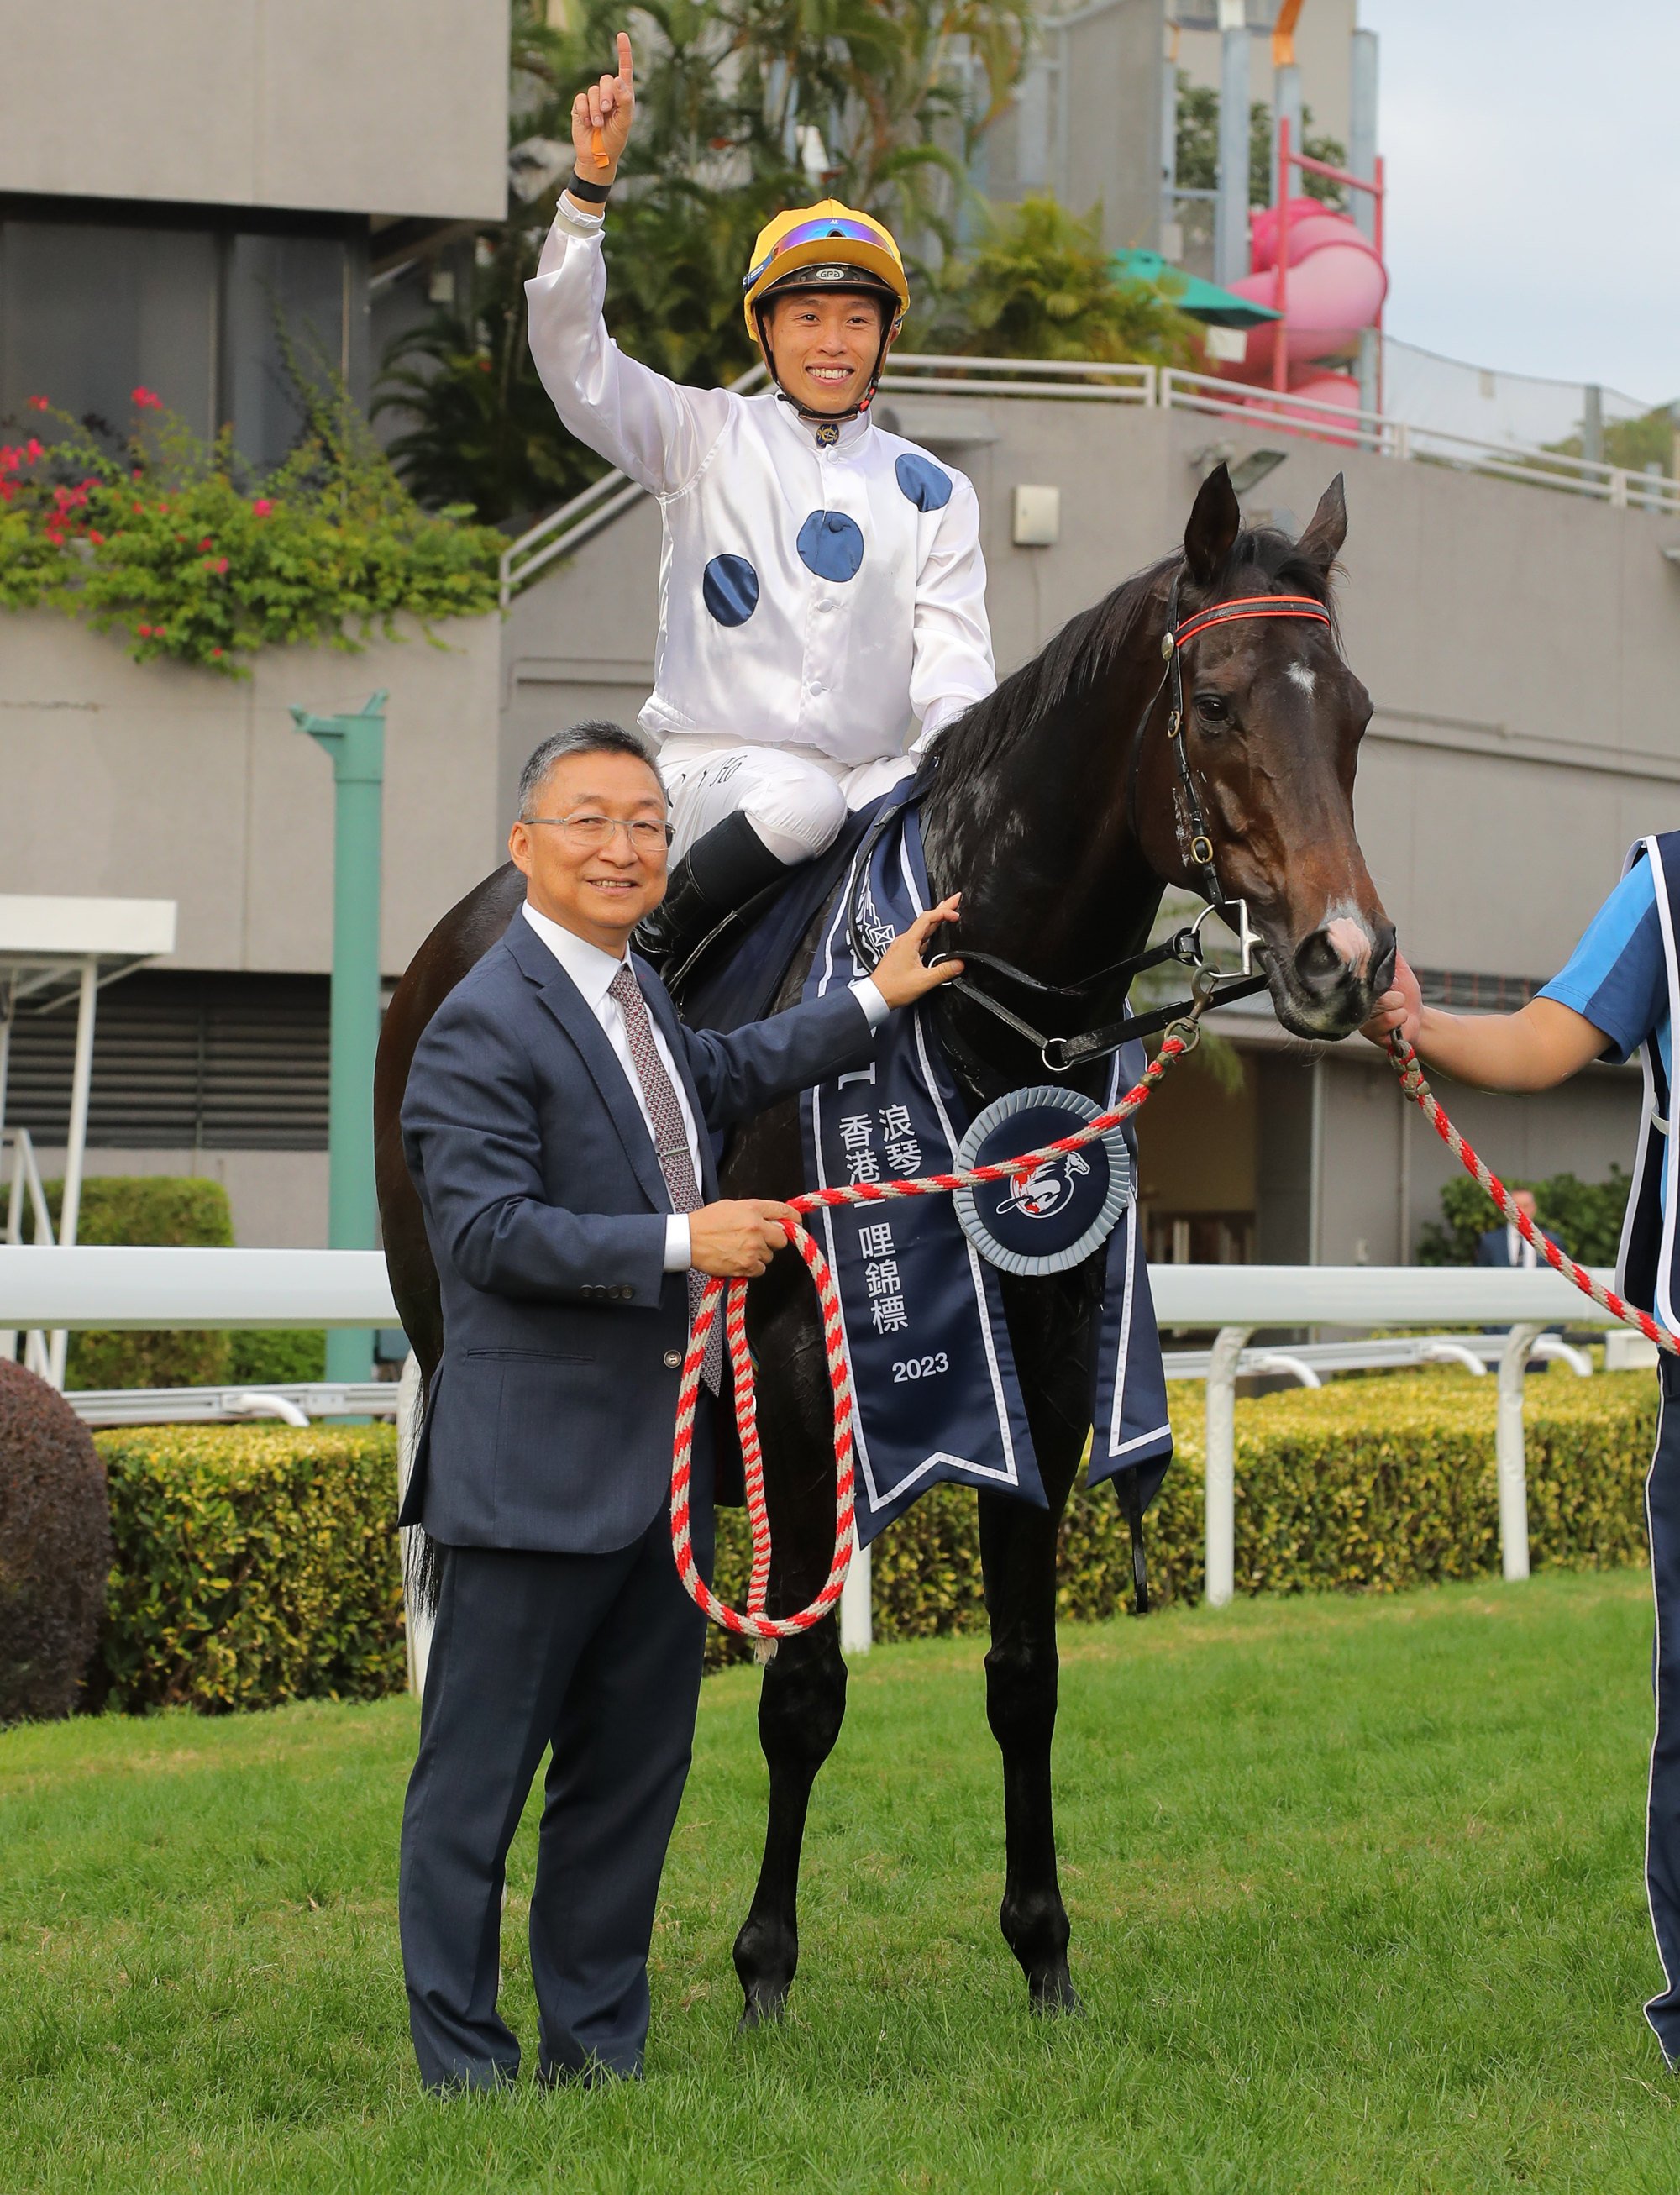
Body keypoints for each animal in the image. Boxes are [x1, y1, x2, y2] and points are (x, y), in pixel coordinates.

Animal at [377, 463, 1388, 2019]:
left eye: (1356, 714)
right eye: (1216, 702)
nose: (1347, 957)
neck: (976, 1011)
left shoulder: (1041, 1365)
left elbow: (1024, 1673)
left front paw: (1043, 1950)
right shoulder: (797, 1373)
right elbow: (802, 1691)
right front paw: (763, 1969)